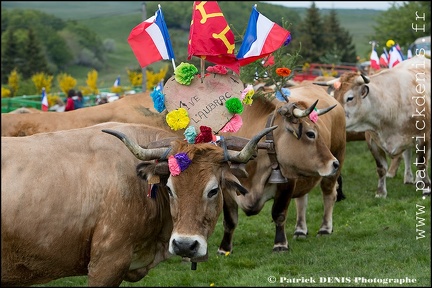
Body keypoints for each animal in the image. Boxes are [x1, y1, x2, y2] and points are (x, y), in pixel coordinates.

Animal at [218, 82, 346, 253]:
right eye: (311, 134)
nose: (334, 163)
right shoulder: (226, 187)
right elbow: (230, 220)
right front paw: (224, 248)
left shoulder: (287, 182)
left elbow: (279, 214)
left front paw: (280, 244)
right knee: (302, 199)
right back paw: (300, 230)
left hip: (337, 158)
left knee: (329, 194)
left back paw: (325, 228)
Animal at [316, 55, 430, 197]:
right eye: (334, 97)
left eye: (350, 98)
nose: (335, 116)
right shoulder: (372, 140)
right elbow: (381, 168)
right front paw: (381, 192)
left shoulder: (423, 137)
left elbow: (422, 164)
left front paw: (426, 189)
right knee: (407, 154)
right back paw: (409, 178)